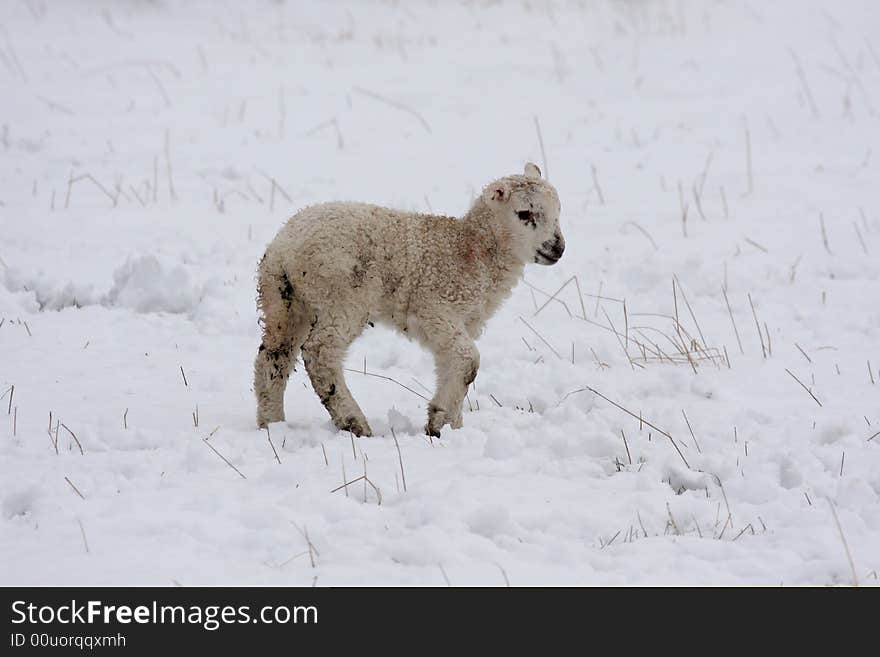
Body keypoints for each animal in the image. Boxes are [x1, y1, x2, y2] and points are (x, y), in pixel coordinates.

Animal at [253, 163, 564, 436]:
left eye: (558, 211)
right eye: (524, 213)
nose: (558, 247)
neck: (472, 250)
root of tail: (284, 247)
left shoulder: (458, 322)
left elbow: (453, 365)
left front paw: (449, 426)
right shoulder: (435, 309)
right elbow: (469, 361)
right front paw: (440, 423)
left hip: (285, 300)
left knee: (273, 357)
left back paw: (273, 424)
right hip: (342, 296)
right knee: (320, 352)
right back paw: (354, 423)